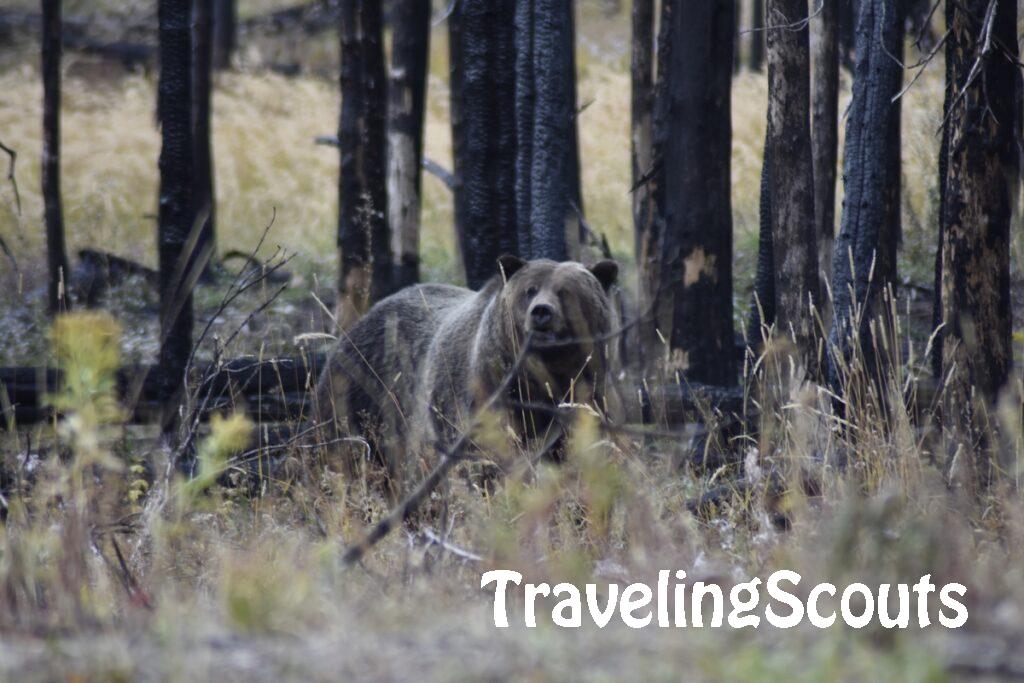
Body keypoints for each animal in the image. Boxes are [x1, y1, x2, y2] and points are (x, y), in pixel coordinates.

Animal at [312, 255, 620, 498]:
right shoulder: (482, 396)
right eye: (530, 290)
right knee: (346, 456)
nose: (541, 312)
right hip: (361, 395)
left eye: (564, 291)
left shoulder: (585, 397)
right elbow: (483, 461)